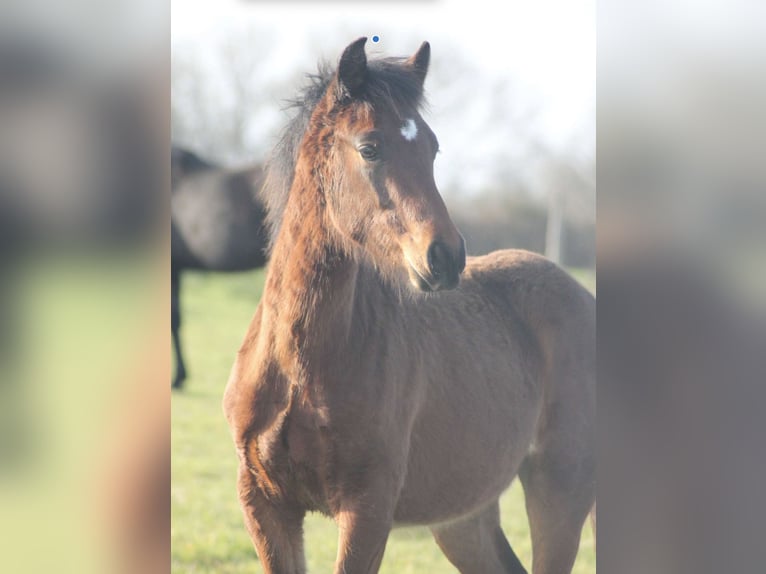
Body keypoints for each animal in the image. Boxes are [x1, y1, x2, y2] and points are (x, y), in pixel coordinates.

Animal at [225, 38, 596, 572]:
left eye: (432, 148)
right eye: (369, 147)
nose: (445, 257)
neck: (300, 367)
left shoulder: (368, 507)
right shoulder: (264, 502)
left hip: (560, 487)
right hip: (464, 517)